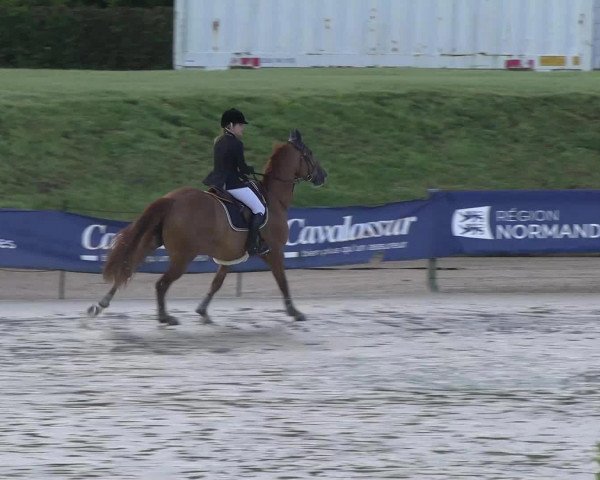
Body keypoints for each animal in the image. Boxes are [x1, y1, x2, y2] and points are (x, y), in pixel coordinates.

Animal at [86, 129, 326, 326]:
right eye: (310, 153)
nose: (323, 176)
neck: (273, 199)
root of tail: (171, 199)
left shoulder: (230, 256)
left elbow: (216, 283)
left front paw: (203, 311)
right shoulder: (274, 252)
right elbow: (283, 281)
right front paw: (295, 312)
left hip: (151, 242)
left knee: (128, 267)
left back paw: (100, 305)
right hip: (183, 257)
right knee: (161, 284)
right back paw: (165, 317)